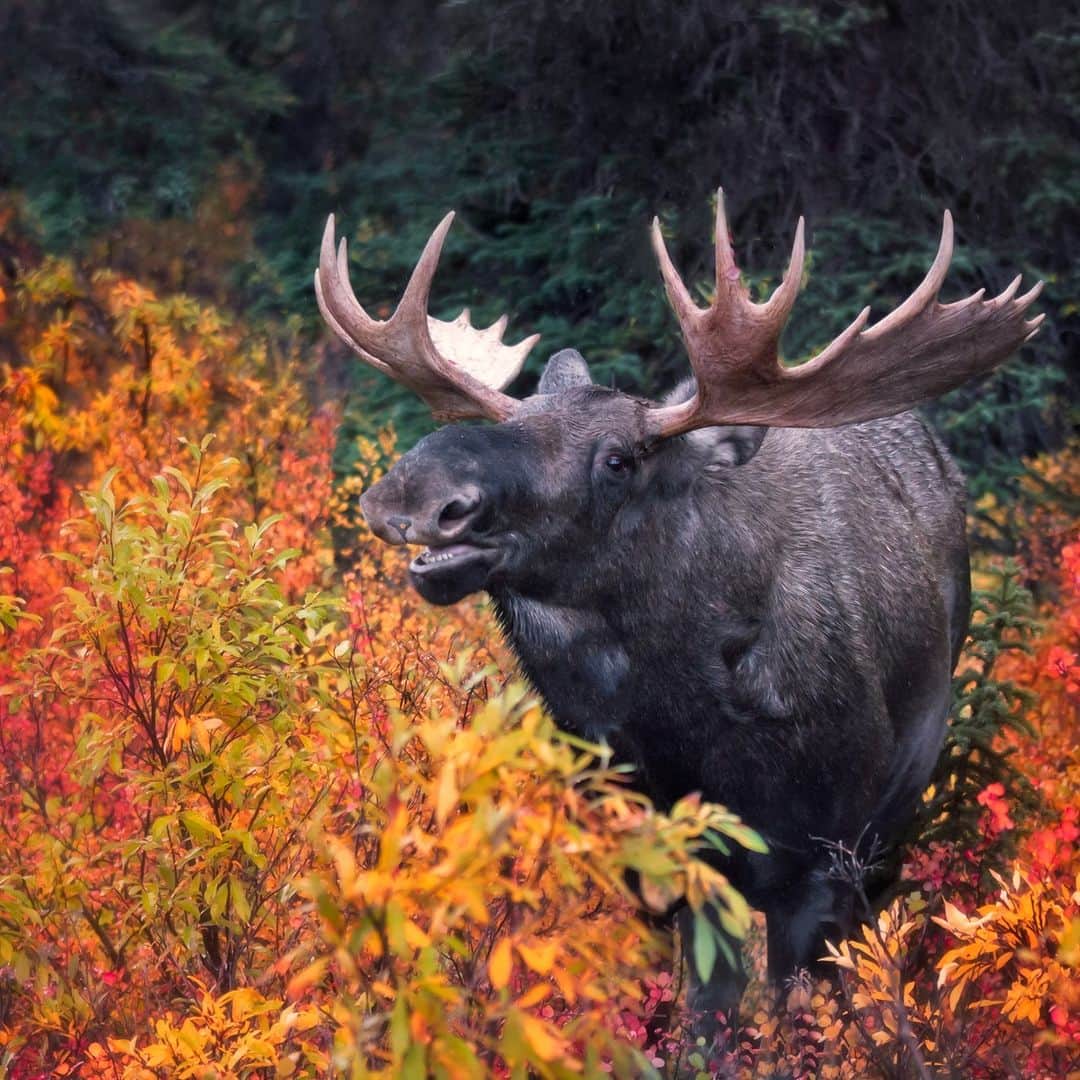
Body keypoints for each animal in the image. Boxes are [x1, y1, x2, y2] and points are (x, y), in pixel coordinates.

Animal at [313, 190, 1042, 1026]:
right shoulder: (657, 862)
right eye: (512, 421)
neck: (687, 731)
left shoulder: (822, 860)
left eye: (619, 459)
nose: (417, 493)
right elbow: (700, 1018)